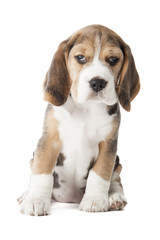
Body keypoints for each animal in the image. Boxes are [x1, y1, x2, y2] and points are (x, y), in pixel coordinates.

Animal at [17, 24, 140, 216]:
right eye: (80, 58)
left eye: (113, 59)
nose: (97, 82)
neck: (86, 108)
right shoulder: (49, 139)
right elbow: (42, 171)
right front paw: (35, 200)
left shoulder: (109, 144)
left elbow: (101, 173)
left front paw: (95, 200)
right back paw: (26, 195)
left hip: (118, 161)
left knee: (115, 178)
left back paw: (114, 197)